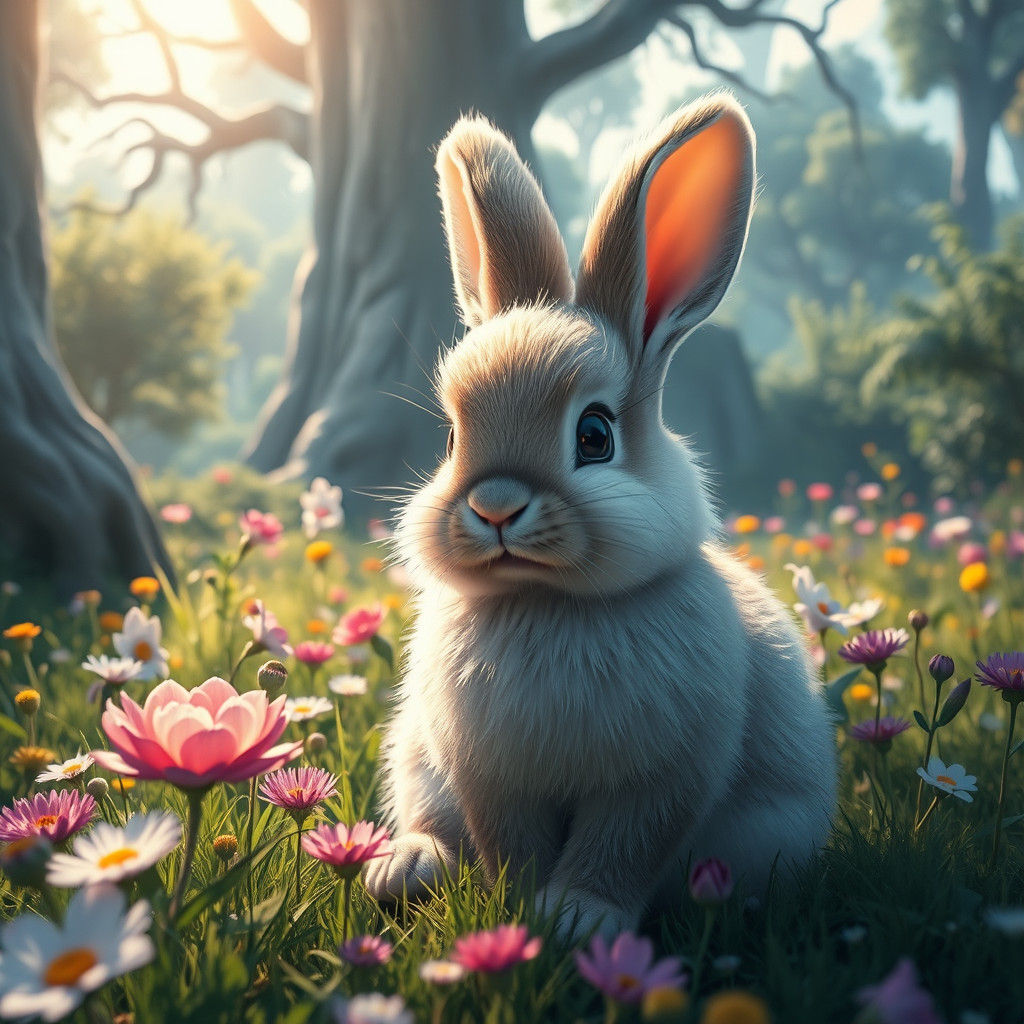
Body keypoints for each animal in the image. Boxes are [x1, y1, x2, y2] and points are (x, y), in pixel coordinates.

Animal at [364, 93, 837, 940]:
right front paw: (519, 909)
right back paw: (404, 867)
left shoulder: (663, 778)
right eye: (451, 438)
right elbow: (508, 842)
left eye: (594, 436)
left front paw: (577, 920)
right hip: (419, 762)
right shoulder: (489, 777)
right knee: (435, 823)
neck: (549, 604)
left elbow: (622, 848)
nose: (494, 506)